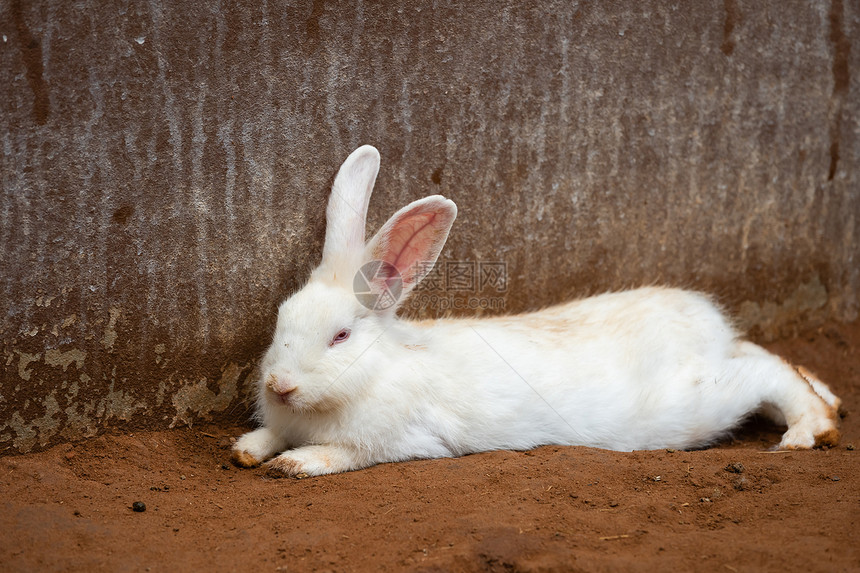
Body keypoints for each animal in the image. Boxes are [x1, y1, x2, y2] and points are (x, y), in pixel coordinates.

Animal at [228, 145, 840, 476]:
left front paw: (294, 464)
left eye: (341, 337)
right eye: (281, 322)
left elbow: (339, 454)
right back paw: (828, 398)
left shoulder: (400, 441)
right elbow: (269, 438)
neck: (375, 371)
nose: (280, 385)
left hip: (697, 401)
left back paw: (810, 428)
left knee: (767, 374)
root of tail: (705, 323)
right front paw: (246, 451)